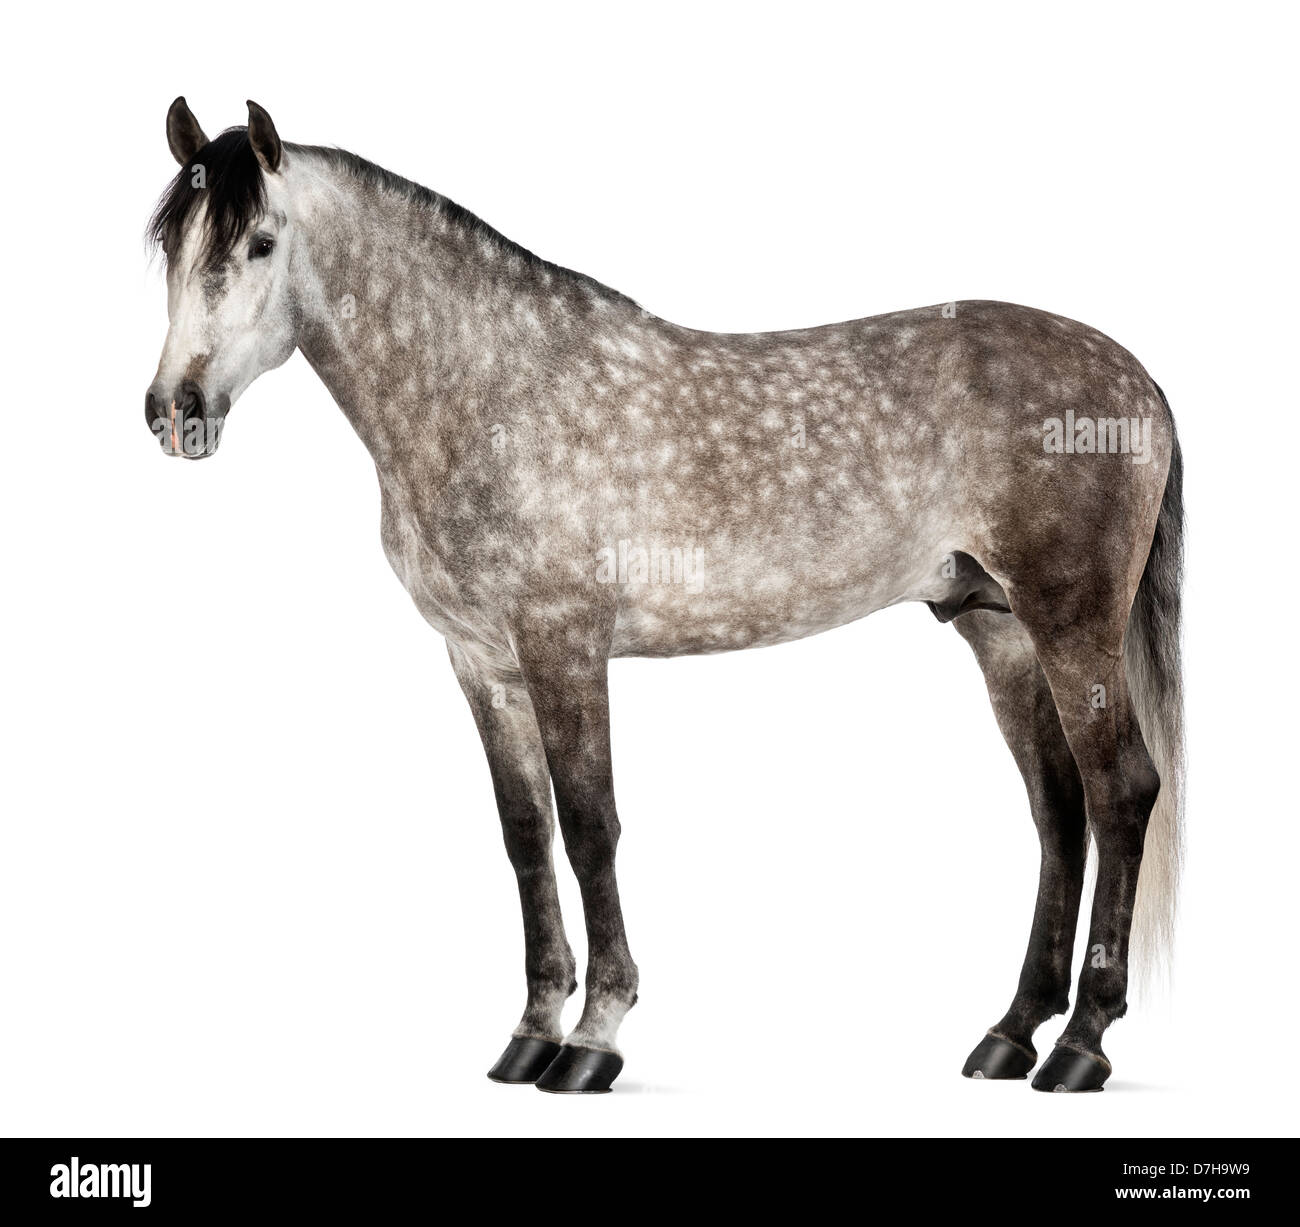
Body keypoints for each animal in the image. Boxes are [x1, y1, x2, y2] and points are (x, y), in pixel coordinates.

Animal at [145, 98, 1184, 1095]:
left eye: (260, 242)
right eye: (169, 248)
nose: (174, 412)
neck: (494, 388)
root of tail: (1137, 377)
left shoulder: (563, 643)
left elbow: (590, 826)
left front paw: (593, 1038)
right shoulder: (482, 661)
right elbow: (527, 834)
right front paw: (531, 1032)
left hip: (1072, 625)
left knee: (1121, 792)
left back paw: (1082, 1045)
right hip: (999, 630)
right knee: (1058, 809)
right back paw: (1011, 1034)